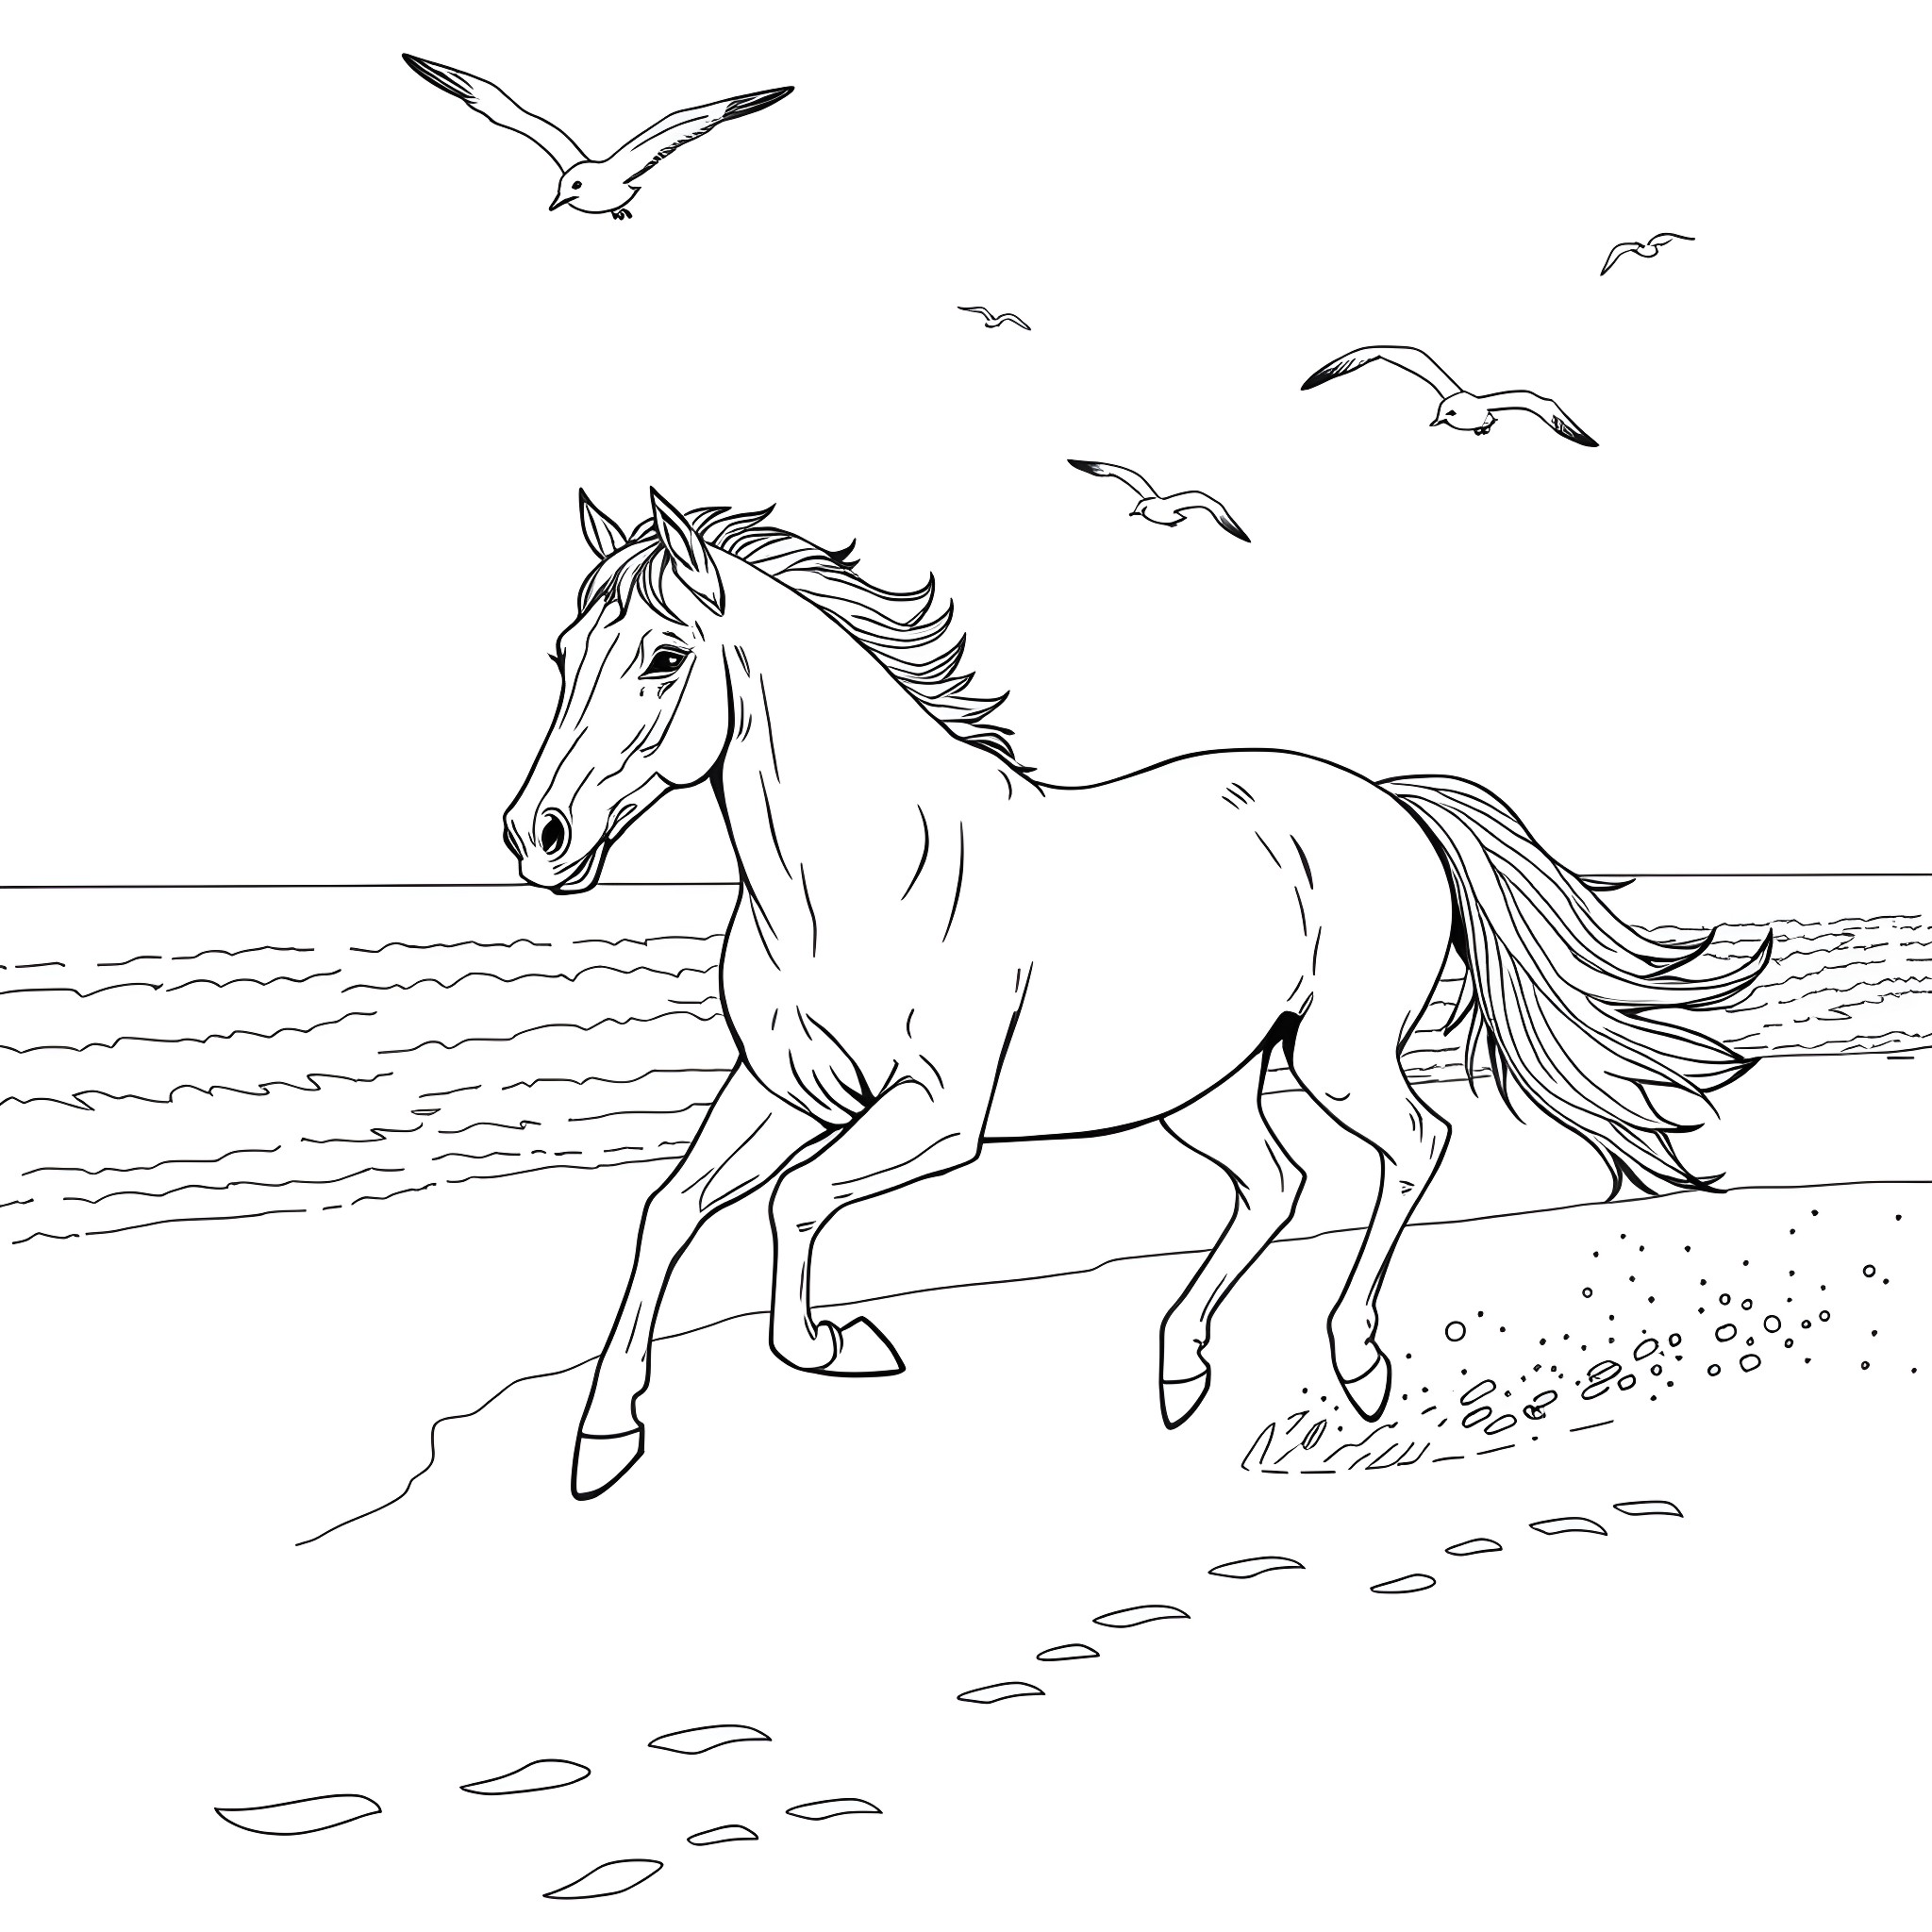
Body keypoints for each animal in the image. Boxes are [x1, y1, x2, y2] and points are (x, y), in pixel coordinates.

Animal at [502, 488, 1770, 1500]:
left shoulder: (934, 1116)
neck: (850, 882)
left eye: (663, 657)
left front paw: (836, 1342)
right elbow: (668, 1209)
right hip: (1204, 1087)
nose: (536, 837)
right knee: (1275, 1183)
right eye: (561, 655)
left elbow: (793, 1202)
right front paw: (603, 1441)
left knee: (1413, 1146)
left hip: (1338, 1056)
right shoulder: (778, 1090)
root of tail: (1390, 800)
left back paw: (1355, 1362)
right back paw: (1180, 1364)